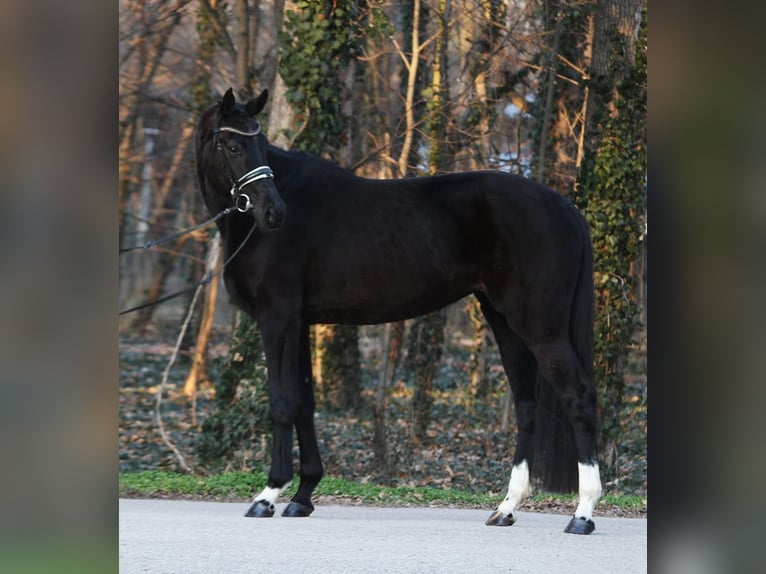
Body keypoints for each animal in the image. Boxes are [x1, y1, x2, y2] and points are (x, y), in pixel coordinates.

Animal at [195, 89, 604, 536]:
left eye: (260, 143)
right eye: (233, 145)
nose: (274, 213)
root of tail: (564, 205)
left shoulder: (277, 320)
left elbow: (282, 402)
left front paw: (268, 495)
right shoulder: (300, 323)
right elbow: (304, 402)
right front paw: (303, 496)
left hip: (541, 328)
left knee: (578, 396)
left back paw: (582, 513)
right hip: (506, 323)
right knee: (526, 404)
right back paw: (506, 507)